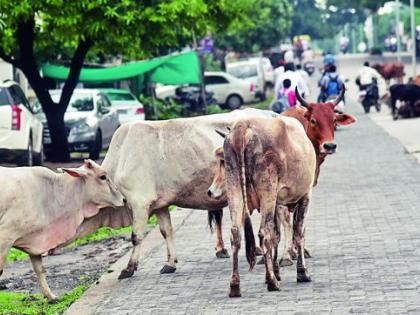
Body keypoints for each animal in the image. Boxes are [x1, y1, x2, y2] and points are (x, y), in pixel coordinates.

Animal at [0, 162, 124, 302]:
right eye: (103, 177)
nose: (123, 199)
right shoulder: (5, 236)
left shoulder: (36, 240)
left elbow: (40, 269)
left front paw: (51, 296)